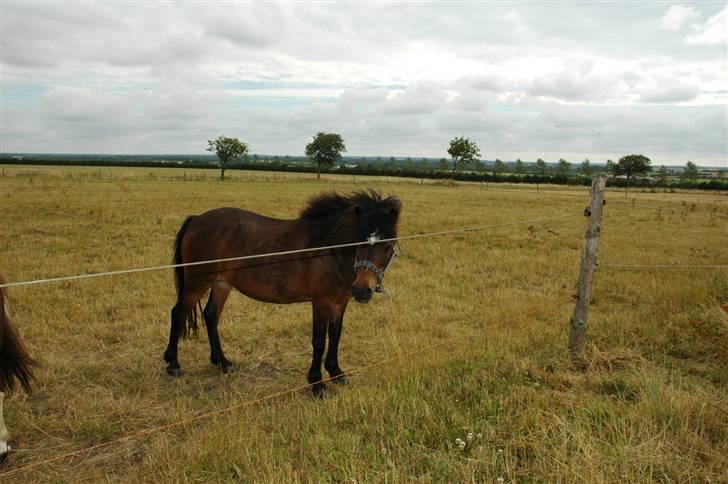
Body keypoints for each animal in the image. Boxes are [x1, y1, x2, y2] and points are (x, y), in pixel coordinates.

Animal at [165, 191, 400, 396]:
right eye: (359, 240)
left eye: (388, 245)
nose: (362, 290)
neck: (329, 248)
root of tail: (196, 220)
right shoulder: (321, 302)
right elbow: (319, 341)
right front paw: (317, 384)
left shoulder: (340, 302)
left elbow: (335, 335)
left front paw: (336, 372)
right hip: (197, 284)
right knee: (178, 314)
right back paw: (173, 364)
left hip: (221, 283)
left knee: (211, 315)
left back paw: (222, 363)